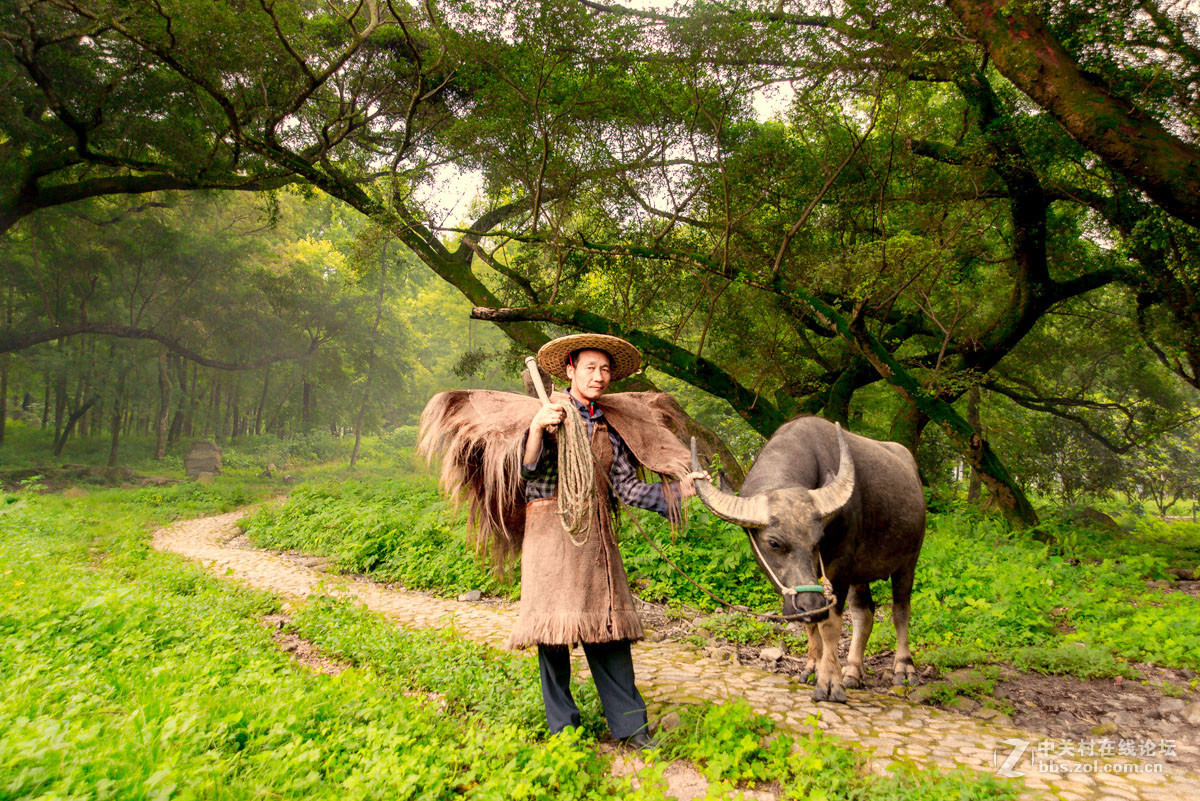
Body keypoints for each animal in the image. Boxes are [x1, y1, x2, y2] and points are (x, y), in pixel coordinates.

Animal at [691, 417, 921, 705]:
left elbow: (830, 625)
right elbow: (812, 625)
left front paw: (830, 683)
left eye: (819, 539)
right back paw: (853, 671)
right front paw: (812, 667)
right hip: (861, 572)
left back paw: (903, 669)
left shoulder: (840, 569)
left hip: (908, 560)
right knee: (863, 613)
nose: (812, 604)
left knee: (900, 611)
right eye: (774, 543)